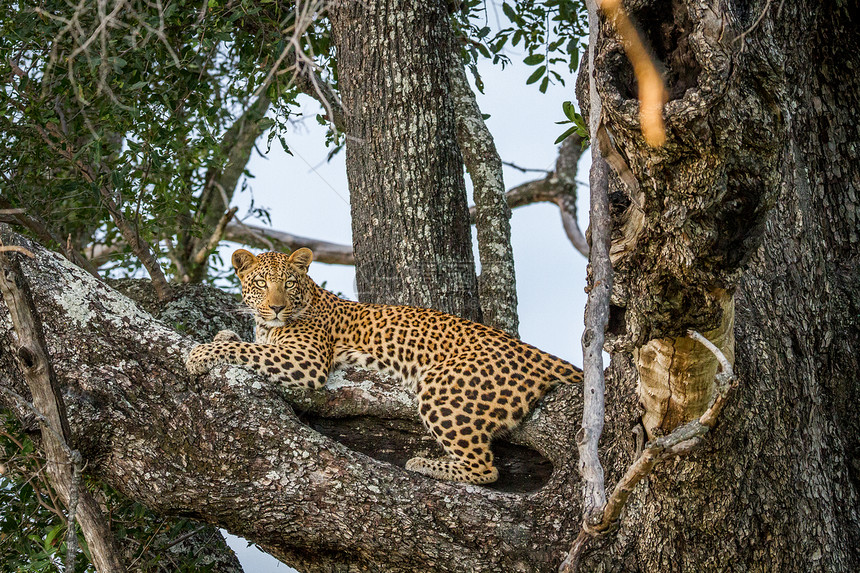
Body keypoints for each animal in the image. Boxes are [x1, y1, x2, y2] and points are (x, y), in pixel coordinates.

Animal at [187, 247, 584, 482]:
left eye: (288, 283)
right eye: (260, 283)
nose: (276, 307)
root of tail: (533, 352)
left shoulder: (306, 360)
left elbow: (248, 350)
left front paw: (198, 355)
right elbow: (246, 343)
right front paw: (222, 335)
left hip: (442, 386)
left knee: (485, 469)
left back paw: (425, 464)